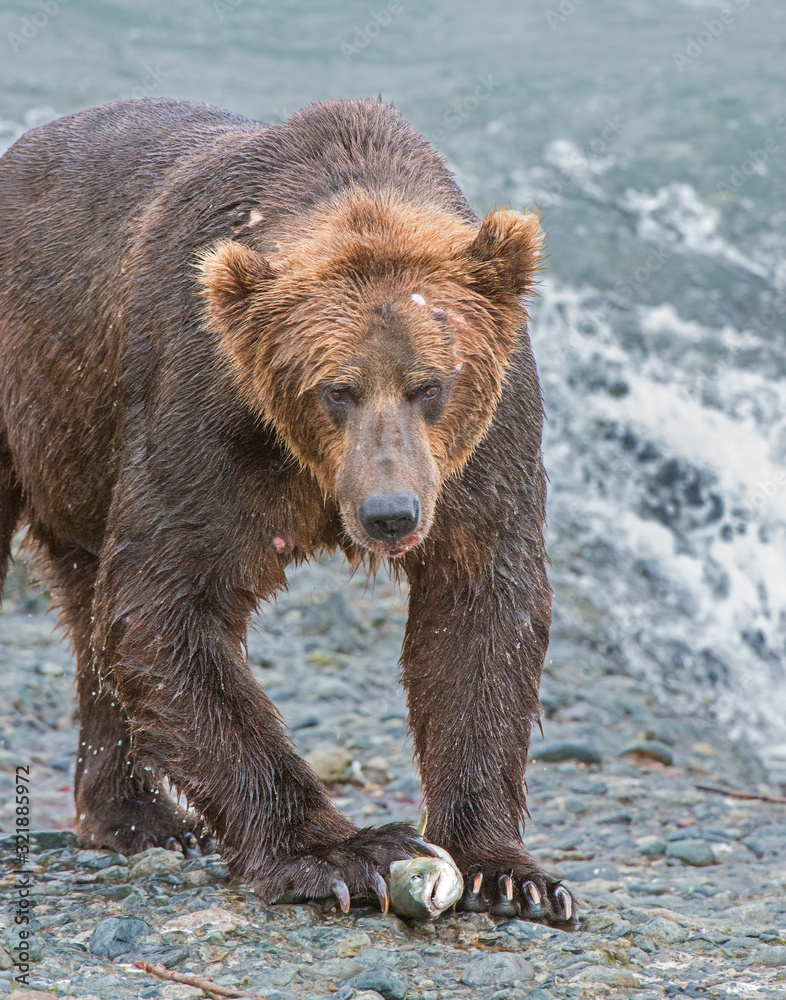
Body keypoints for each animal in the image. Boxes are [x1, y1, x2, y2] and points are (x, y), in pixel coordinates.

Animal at [1, 97, 576, 924]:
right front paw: (347, 854)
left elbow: (480, 617)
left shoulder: (485, 457)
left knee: (87, 607)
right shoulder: (209, 417)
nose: (390, 513)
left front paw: (506, 870)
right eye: (335, 389)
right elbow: (164, 608)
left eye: (431, 384)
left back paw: (142, 817)